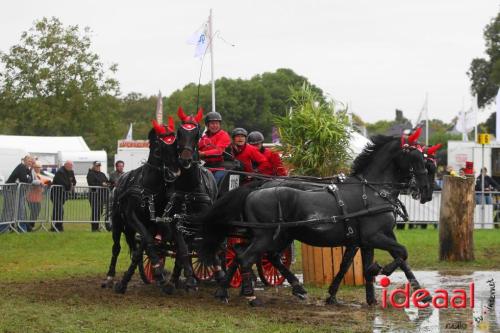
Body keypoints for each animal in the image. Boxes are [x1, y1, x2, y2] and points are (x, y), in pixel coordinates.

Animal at [102, 117, 181, 294]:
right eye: (159, 148)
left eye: (175, 145)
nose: (174, 174)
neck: (149, 187)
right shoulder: (132, 218)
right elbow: (148, 242)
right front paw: (158, 270)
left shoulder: (153, 222)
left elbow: (143, 246)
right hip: (118, 223)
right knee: (116, 247)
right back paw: (109, 277)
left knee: (135, 246)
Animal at [199, 134, 434, 304]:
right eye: (415, 158)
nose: (426, 192)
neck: (373, 191)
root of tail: (255, 189)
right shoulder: (375, 236)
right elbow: (402, 253)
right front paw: (381, 270)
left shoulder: (362, 240)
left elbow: (351, 265)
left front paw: (360, 296)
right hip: (267, 236)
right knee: (247, 258)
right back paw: (252, 296)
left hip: (274, 236)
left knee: (243, 254)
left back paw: (227, 290)